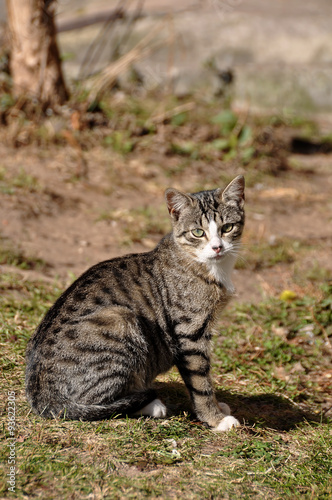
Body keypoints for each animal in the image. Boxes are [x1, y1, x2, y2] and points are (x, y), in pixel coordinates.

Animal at [25, 175, 244, 430]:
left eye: (227, 228)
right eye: (198, 232)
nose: (217, 247)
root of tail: (40, 394)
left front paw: (217, 409)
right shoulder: (190, 334)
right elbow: (201, 383)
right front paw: (215, 418)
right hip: (120, 318)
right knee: (97, 404)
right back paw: (151, 405)